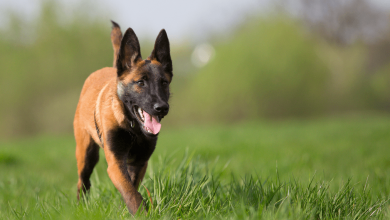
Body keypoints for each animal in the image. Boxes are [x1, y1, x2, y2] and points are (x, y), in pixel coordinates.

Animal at [74, 20, 173, 213]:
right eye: (141, 82)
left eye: (164, 83)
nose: (161, 108)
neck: (133, 128)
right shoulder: (115, 163)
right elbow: (130, 192)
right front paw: (142, 213)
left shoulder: (140, 162)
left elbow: (131, 188)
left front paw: (125, 209)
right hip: (86, 154)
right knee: (83, 181)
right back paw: (80, 207)